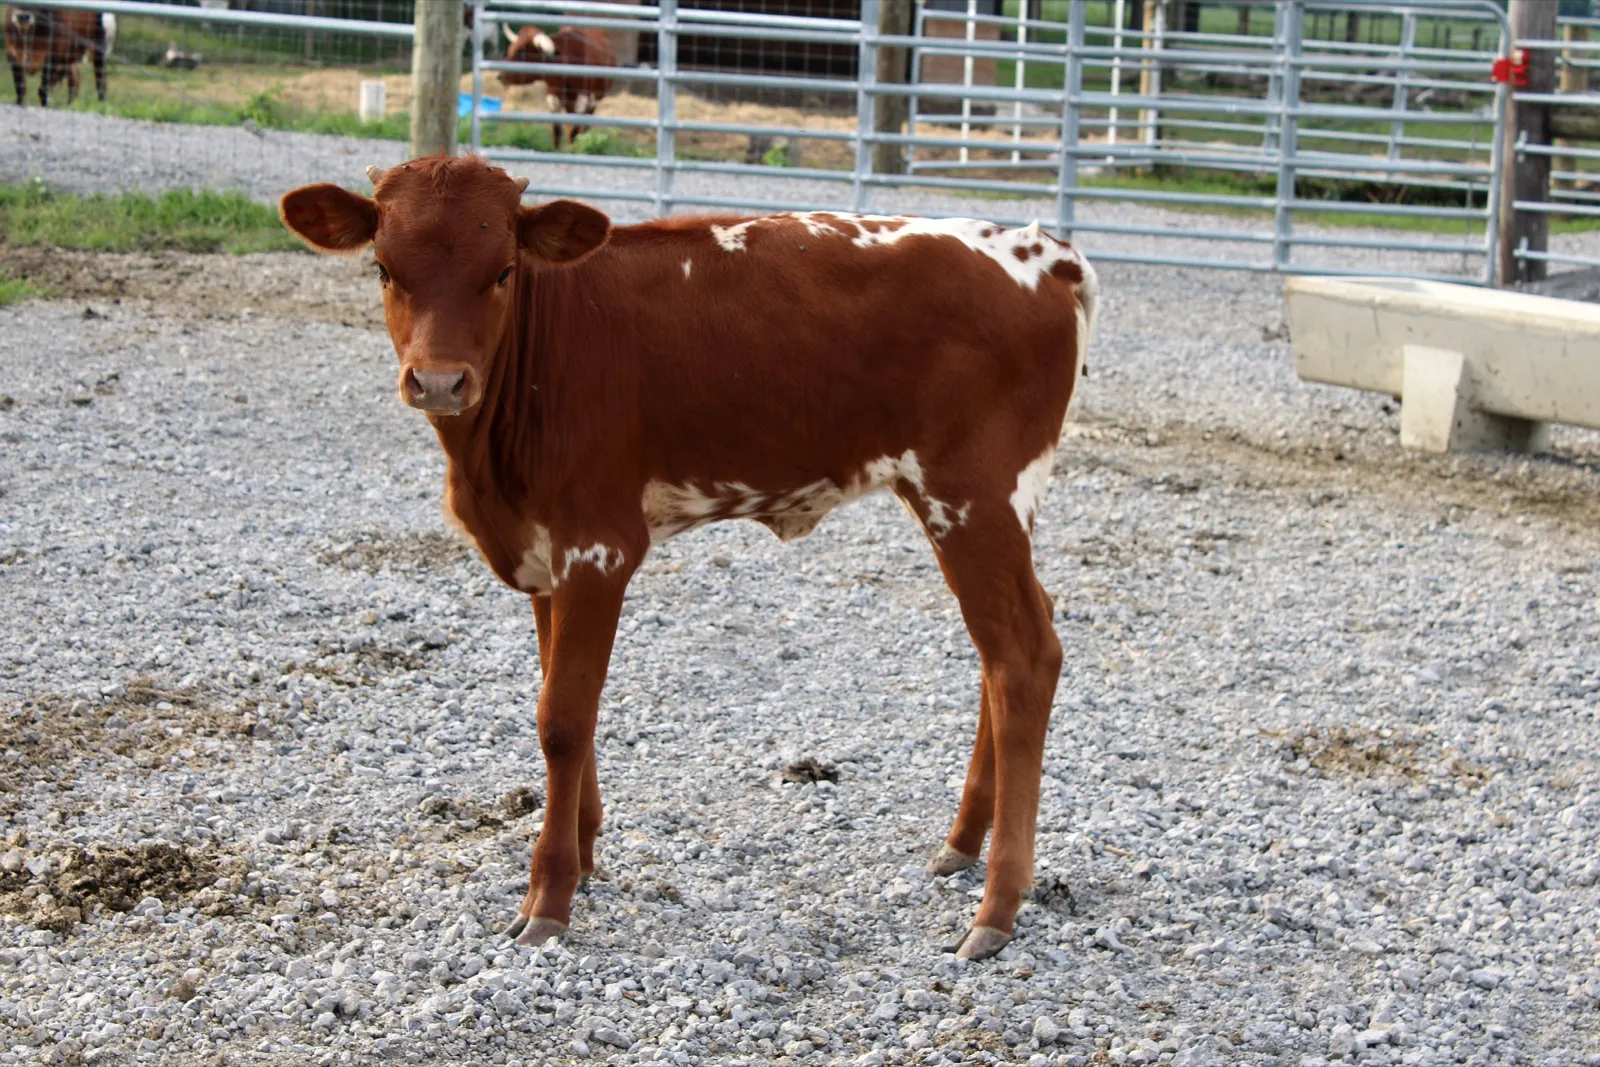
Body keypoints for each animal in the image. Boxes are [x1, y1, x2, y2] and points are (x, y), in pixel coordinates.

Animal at [278, 155, 1097, 961]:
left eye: (503, 270)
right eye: (384, 268)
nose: (441, 381)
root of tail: (1036, 249)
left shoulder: (598, 546)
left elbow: (563, 718)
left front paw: (550, 896)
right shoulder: (545, 556)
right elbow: (562, 697)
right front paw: (585, 852)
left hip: (973, 497)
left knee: (1023, 656)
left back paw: (997, 905)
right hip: (979, 506)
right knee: (1006, 647)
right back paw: (962, 843)